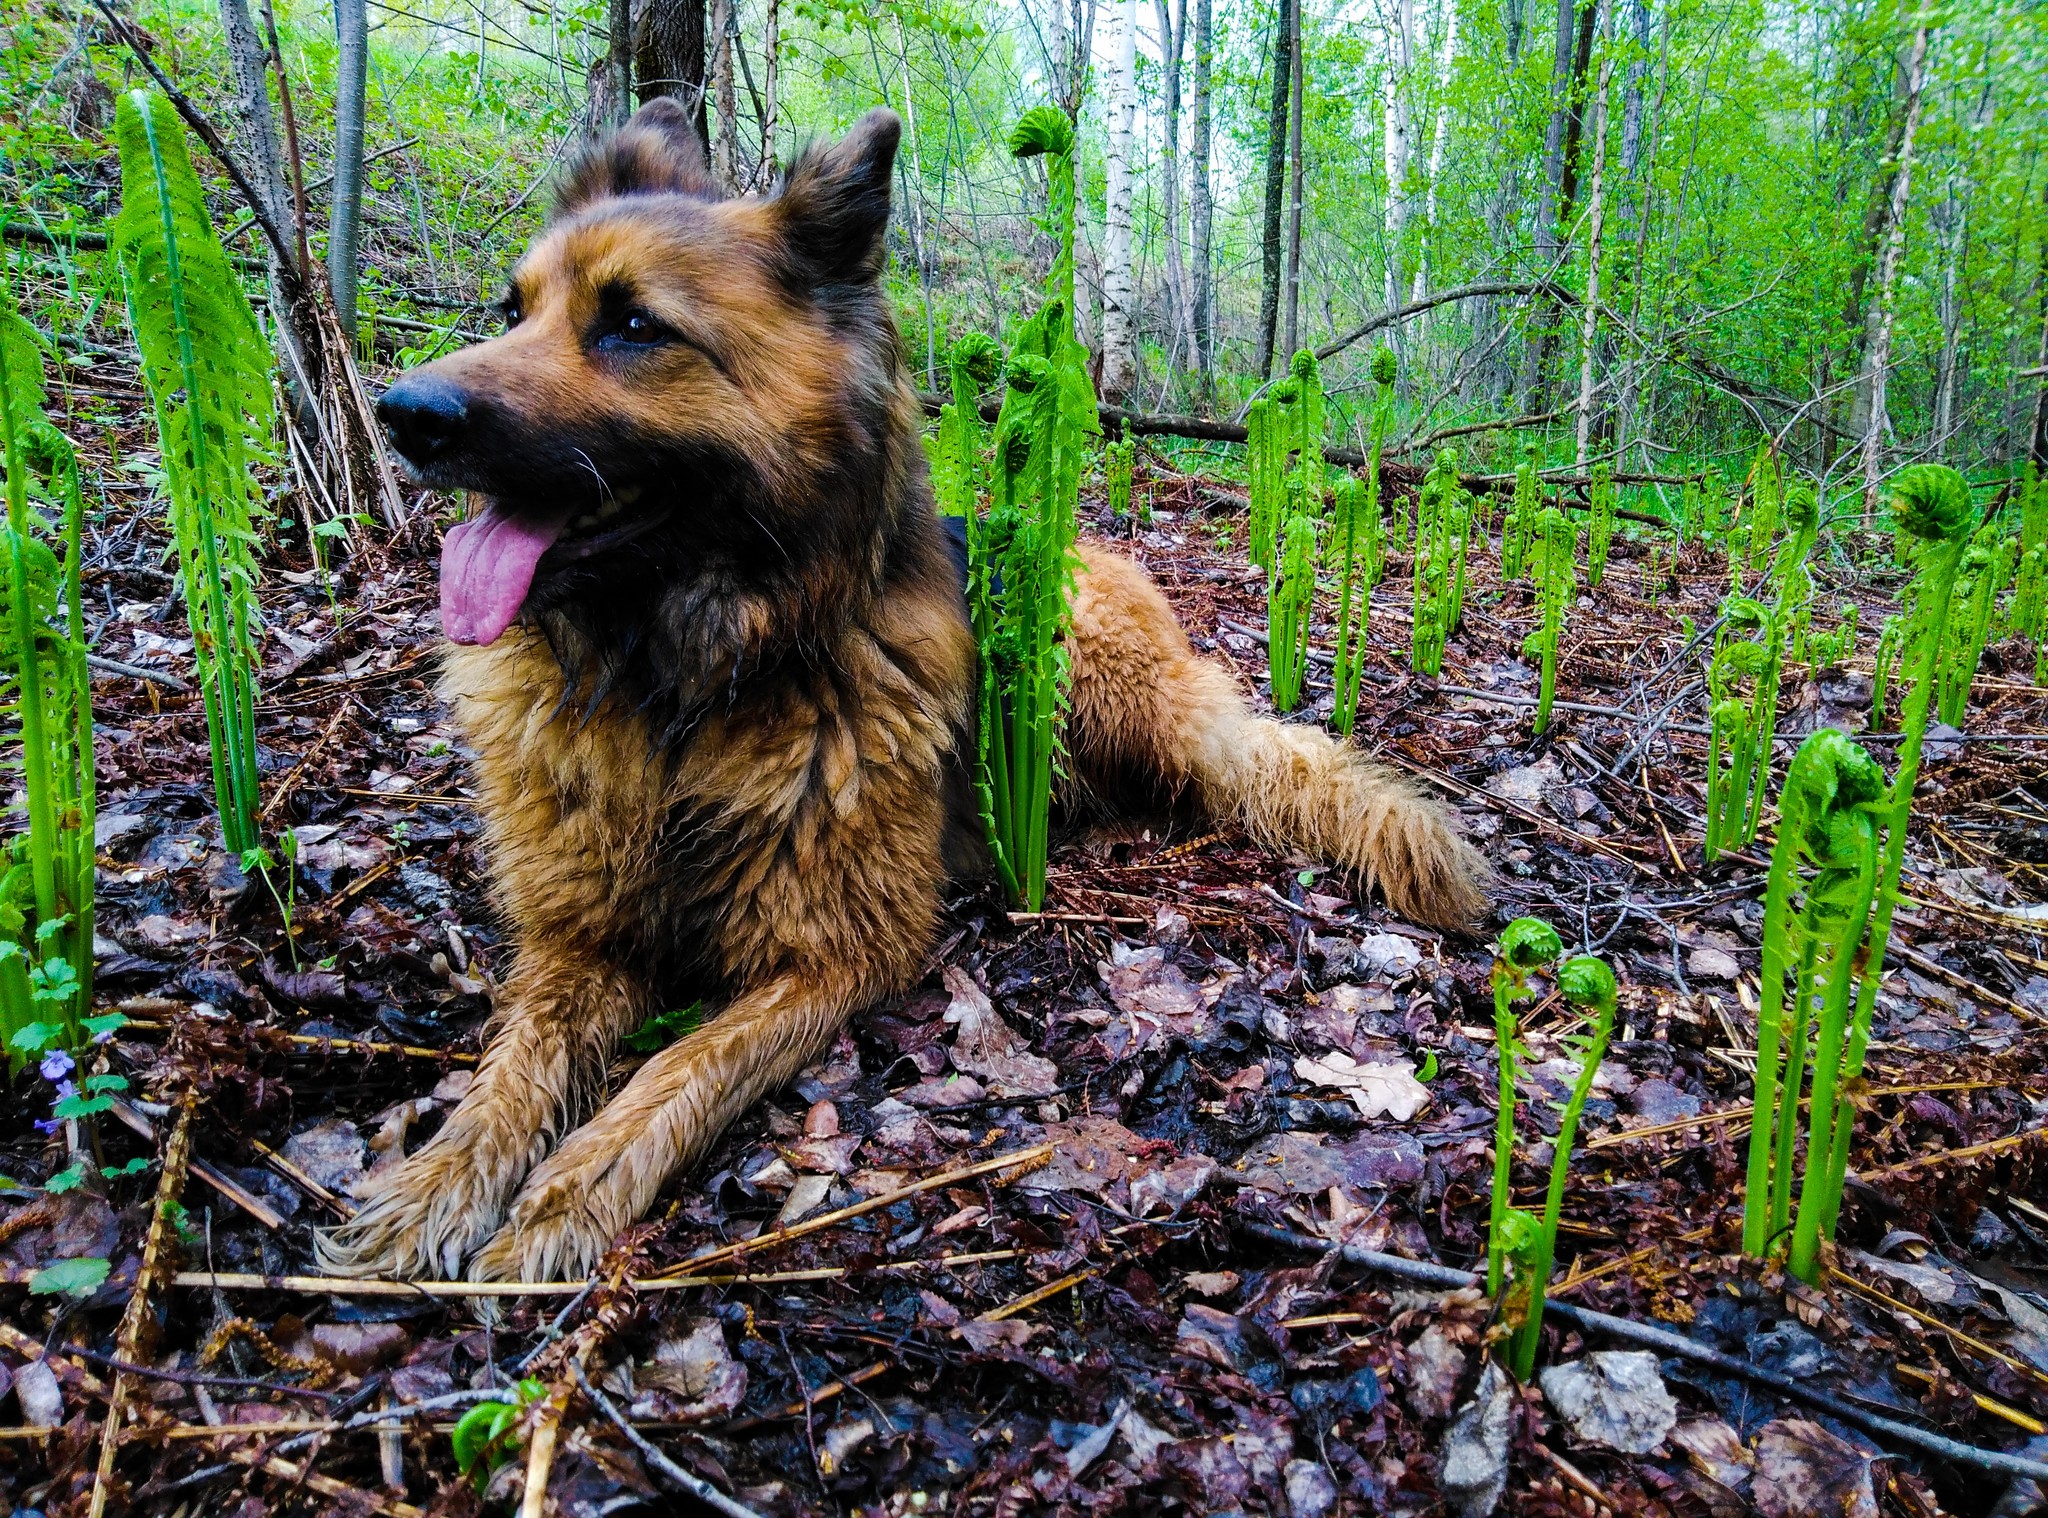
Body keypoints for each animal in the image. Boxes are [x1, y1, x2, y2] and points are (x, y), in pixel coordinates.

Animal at [327, 97, 1490, 1278]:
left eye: (635, 326)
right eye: (511, 309)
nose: (402, 411)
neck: (683, 684)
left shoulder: (841, 953)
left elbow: (676, 1068)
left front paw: (566, 1197)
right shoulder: (576, 941)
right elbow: (514, 1065)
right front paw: (436, 1185)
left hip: (1097, 683)